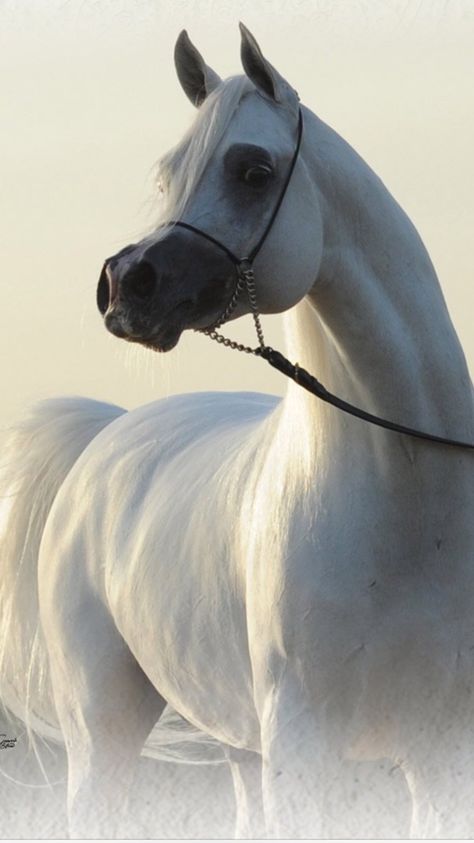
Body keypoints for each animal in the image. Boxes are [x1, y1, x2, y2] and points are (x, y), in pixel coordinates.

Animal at [0, 23, 474, 840]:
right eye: (167, 174)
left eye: (253, 169)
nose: (122, 285)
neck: (408, 501)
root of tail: (105, 433)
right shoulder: (304, 750)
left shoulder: (440, 751)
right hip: (104, 733)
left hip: (237, 746)